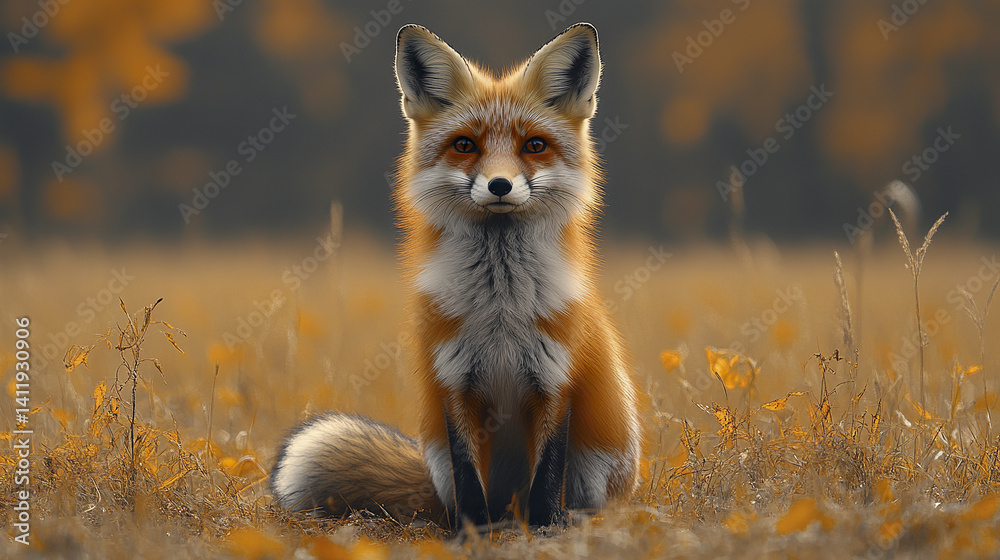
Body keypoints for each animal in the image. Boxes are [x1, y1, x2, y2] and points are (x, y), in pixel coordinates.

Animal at [270, 22, 642, 528]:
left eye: (534, 145)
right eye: (465, 144)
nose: (500, 185)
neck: (501, 307)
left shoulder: (556, 380)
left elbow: (548, 475)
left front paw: (546, 528)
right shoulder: (454, 381)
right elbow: (468, 477)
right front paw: (471, 531)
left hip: (598, 459)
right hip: (440, 459)